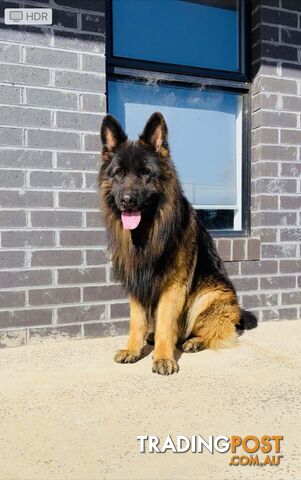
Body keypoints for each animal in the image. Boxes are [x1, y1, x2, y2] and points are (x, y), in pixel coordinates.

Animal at [98, 111, 255, 376]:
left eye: (145, 173)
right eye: (118, 173)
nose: (127, 200)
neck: (147, 233)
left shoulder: (173, 286)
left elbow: (165, 324)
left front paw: (163, 357)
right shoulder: (137, 282)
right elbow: (136, 322)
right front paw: (133, 350)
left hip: (210, 296)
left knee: (214, 331)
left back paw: (193, 341)